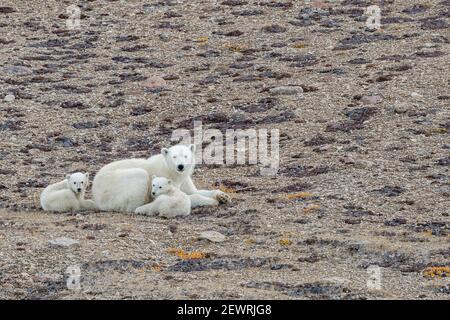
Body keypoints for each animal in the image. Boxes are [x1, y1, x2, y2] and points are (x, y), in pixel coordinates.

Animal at [92, 144, 230, 212]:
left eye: (185, 156)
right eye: (174, 156)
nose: (180, 166)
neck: (172, 171)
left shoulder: (183, 180)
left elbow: (194, 191)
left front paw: (223, 196)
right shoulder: (164, 180)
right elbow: (187, 196)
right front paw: (213, 201)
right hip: (113, 187)